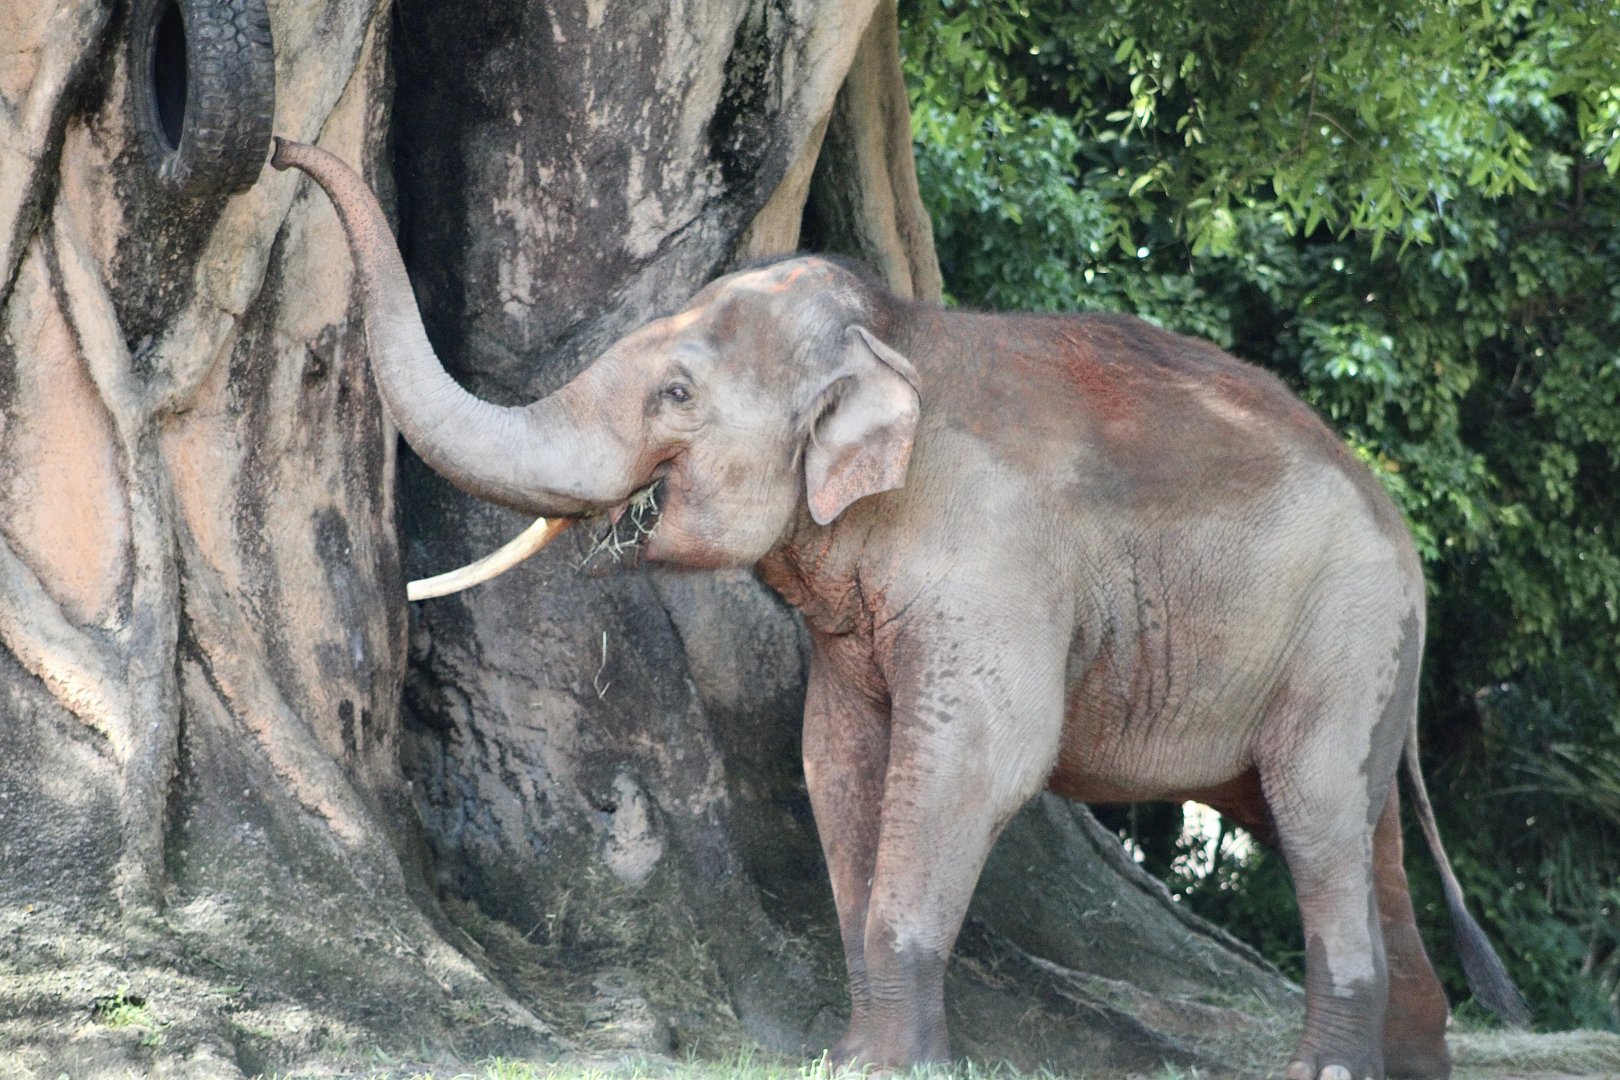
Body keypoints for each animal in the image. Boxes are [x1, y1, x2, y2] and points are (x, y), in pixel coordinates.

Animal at [271, 139, 1525, 1080]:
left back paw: (1329, 1069)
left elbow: (979, 757)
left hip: (1344, 631)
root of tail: (1397, 523)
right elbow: (835, 760)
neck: (894, 333)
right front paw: (852, 1058)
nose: (281, 150)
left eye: (675, 392)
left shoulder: (992, 567)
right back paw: (1411, 1066)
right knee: (1353, 829)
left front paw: (898, 1066)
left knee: (1313, 815)